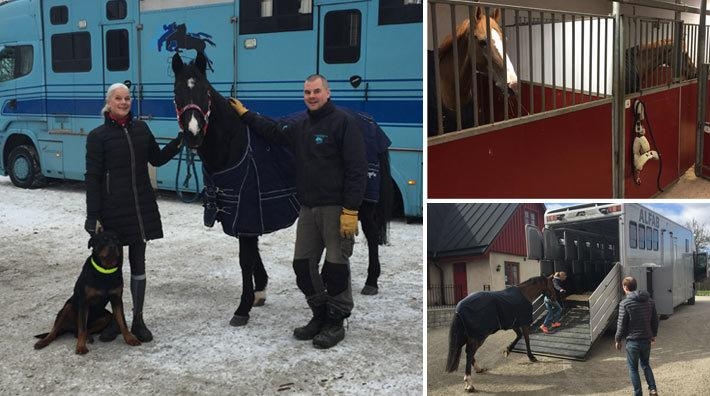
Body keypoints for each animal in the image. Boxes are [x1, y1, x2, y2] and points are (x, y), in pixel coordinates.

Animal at [172, 51, 394, 326]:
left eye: (205, 91)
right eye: (177, 91)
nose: (193, 134)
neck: (235, 144)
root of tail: (368, 121)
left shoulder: (247, 208)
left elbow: (245, 259)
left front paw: (243, 308)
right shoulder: (244, 210)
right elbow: (253, 252)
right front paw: (260, 291)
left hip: (362, 199)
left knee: (372, 234)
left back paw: (371, 281)